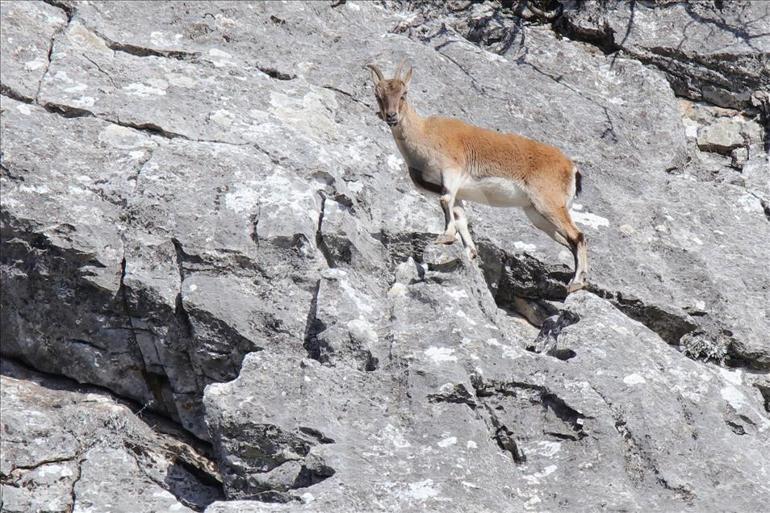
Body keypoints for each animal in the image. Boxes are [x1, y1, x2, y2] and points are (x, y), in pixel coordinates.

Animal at [366, 61, 588, 292]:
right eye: (377, 94)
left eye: (404, 94)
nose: (391, 116)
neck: (425, 135)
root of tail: (571, 168)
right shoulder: (456, 190)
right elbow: (460, 216)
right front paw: (469, 252)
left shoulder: (452, 172)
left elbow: (445, 201)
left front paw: (446, 236)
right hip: (536, 214)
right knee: (569, 241)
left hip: (549, 203)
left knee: (578, 236)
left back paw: (576, 282)